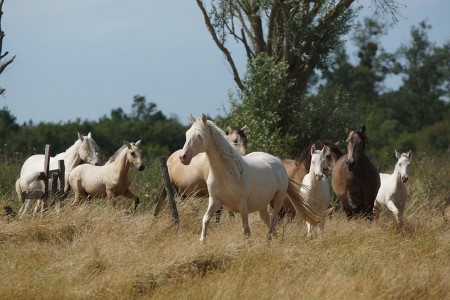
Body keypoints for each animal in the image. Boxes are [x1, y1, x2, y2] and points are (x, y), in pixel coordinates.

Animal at [178, 113, 326, 243]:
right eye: (186, 135)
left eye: (199, 136)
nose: (183, 157)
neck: (227, 173)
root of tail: (278, 161)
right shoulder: (215, 201)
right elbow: (205, 220)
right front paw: (202, 242)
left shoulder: (243, 207)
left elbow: (246, 231)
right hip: (263, 204)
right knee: (268, 221)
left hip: (278, 199)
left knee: (273, 221)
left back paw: (269, 241)